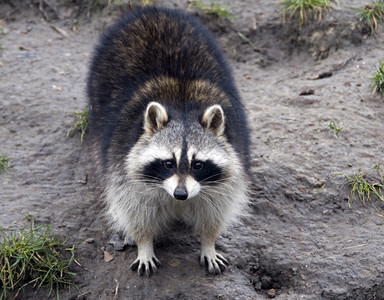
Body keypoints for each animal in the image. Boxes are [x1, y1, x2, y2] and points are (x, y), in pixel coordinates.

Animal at [87, 5, 250, 276]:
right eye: (168, 163)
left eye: (198, 164)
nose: (180, 194)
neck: (182, 107)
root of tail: (152, 10)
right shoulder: (121, 159)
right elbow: (134, 209)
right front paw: (144, 244)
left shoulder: (230, 166)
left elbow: (215, 209)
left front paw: (208, 242)